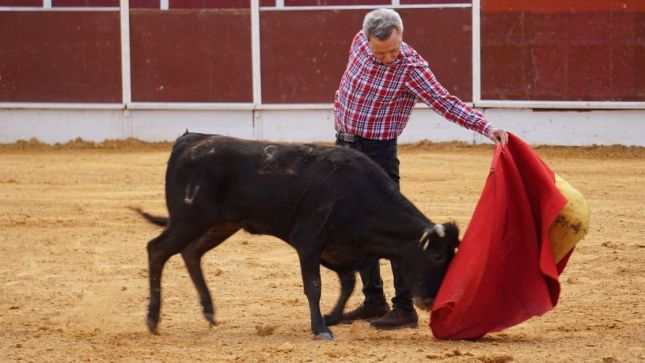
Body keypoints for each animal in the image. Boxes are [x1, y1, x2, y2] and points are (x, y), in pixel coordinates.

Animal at [137, 134, 458, 342]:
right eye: (437, 256)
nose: (430, 300)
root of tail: (188, 141)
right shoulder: (309, 243)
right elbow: (314, 286)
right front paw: (321, 328)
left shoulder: (341, 251)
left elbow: (348, 283)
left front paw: (331, 318)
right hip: (189, 219)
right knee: (157, 250)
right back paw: (153, 319)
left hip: (221, 224)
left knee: (191, 252)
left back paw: (209, 312)